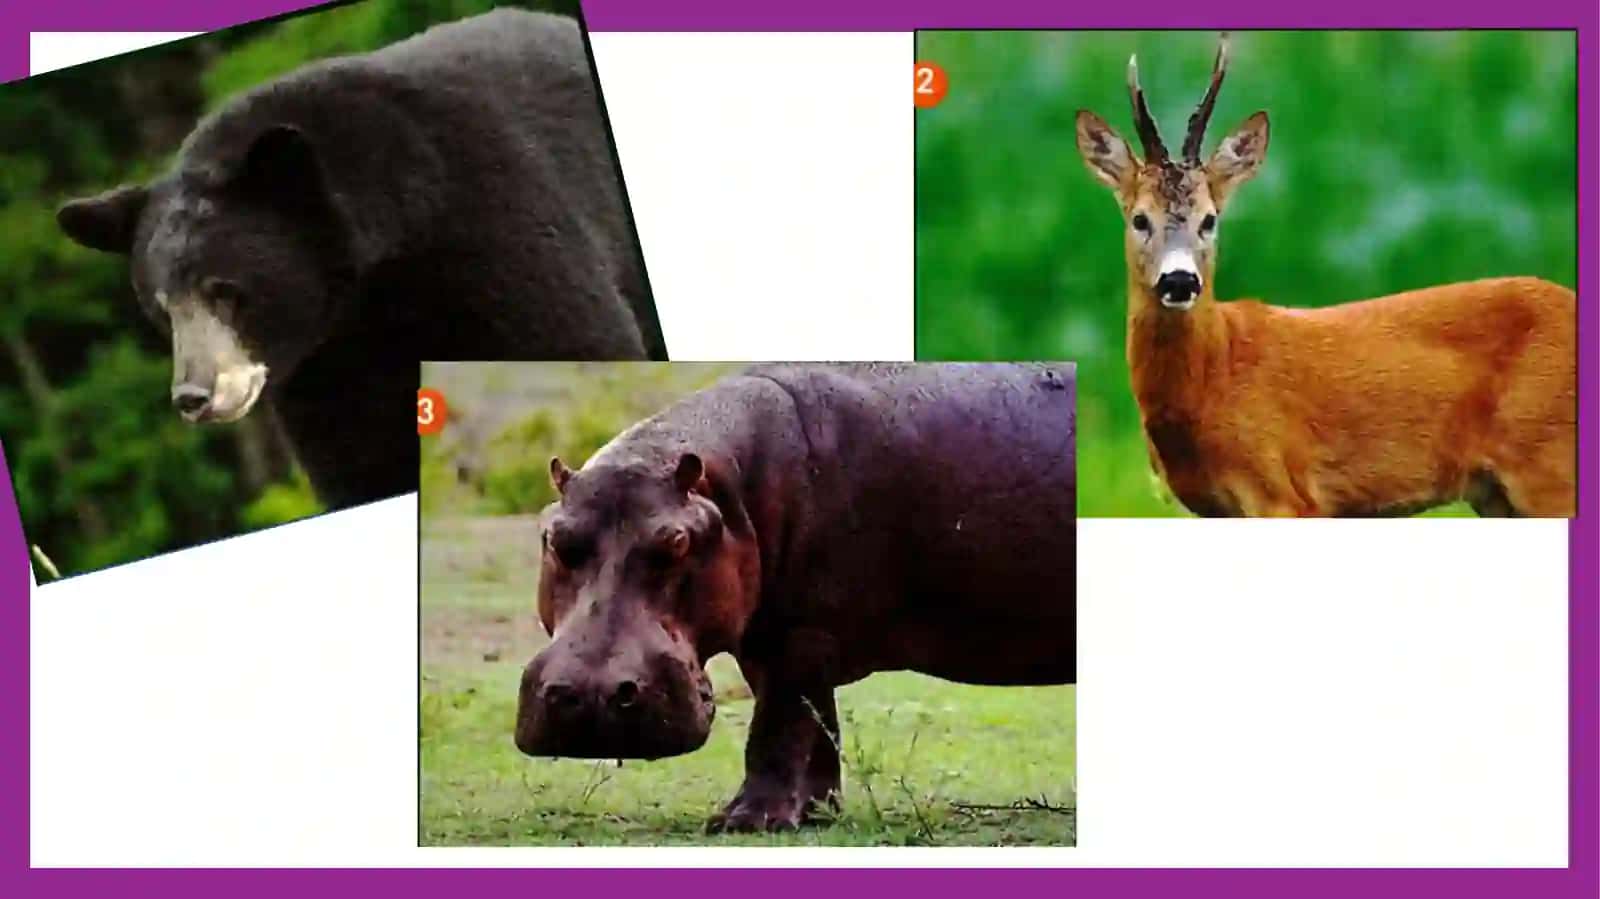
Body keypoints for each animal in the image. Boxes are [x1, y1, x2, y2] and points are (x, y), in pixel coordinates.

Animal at [55, 9, 666, 511]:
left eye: (224, 289)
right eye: (162, 310)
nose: (193, 396)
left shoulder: (491, 223)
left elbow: (574, 335)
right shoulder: (324, 366)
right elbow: (357, 460)